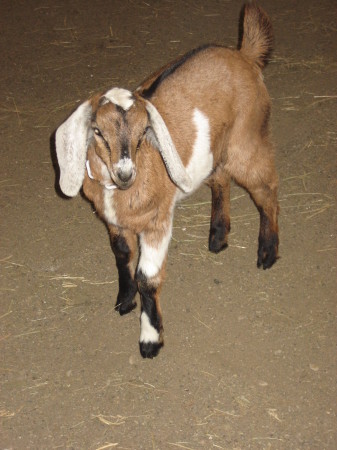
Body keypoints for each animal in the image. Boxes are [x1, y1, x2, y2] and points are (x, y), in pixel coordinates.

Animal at [54, 0, 278, 358]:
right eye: (97, 131)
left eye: (145, 130)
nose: (125, 174)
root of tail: (245, 54)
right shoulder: (114, 221)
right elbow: (122, 256)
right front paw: (124, 301)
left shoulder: (157, 221)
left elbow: (147, 277)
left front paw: (150, 339)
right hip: (217, 148)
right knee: (220, 179)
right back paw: (218, 237)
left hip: (247, 139)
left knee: (266, 187)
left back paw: (267, 253)